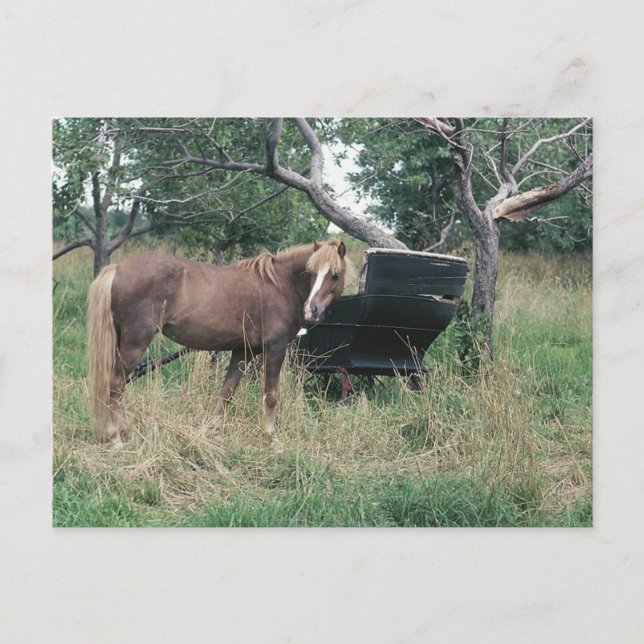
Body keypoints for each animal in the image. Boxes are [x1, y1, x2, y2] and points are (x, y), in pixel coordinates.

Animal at [87, 239, 352, 449]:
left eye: (335, 275)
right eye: (311, 272)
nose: (311, 310)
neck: (280, 285)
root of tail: (118, 267)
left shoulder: (242, 351)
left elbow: (226, 392)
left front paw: (210, 430)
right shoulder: (275, 349)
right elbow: (270, 395)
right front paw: (271, 437)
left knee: (119, 386)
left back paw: (123, 431)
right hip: (135, 341)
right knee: (116, 383)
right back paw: (115, 438)